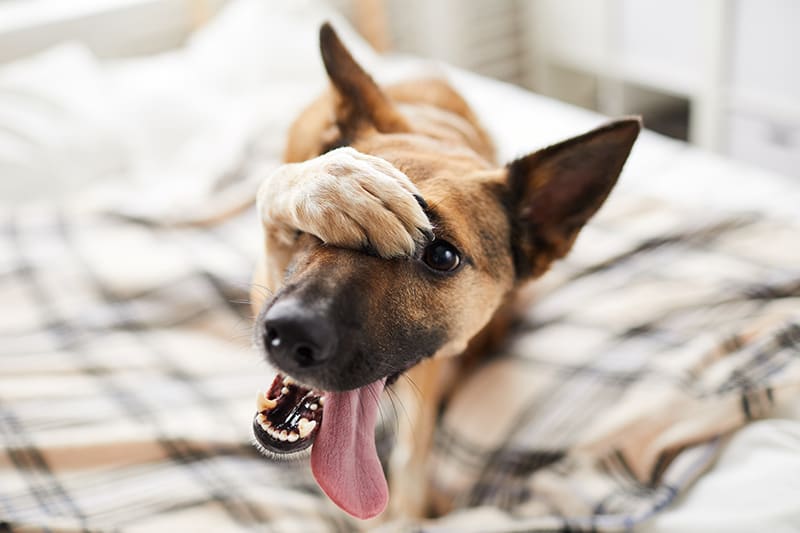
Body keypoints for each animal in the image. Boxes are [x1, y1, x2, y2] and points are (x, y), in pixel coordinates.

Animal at [248, 22, 636, 516]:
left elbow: (413, 455)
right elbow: (283, 187)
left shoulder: (428, 375)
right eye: (317, 228)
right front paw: (335, 183)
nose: (291, 332)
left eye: (442, 257)